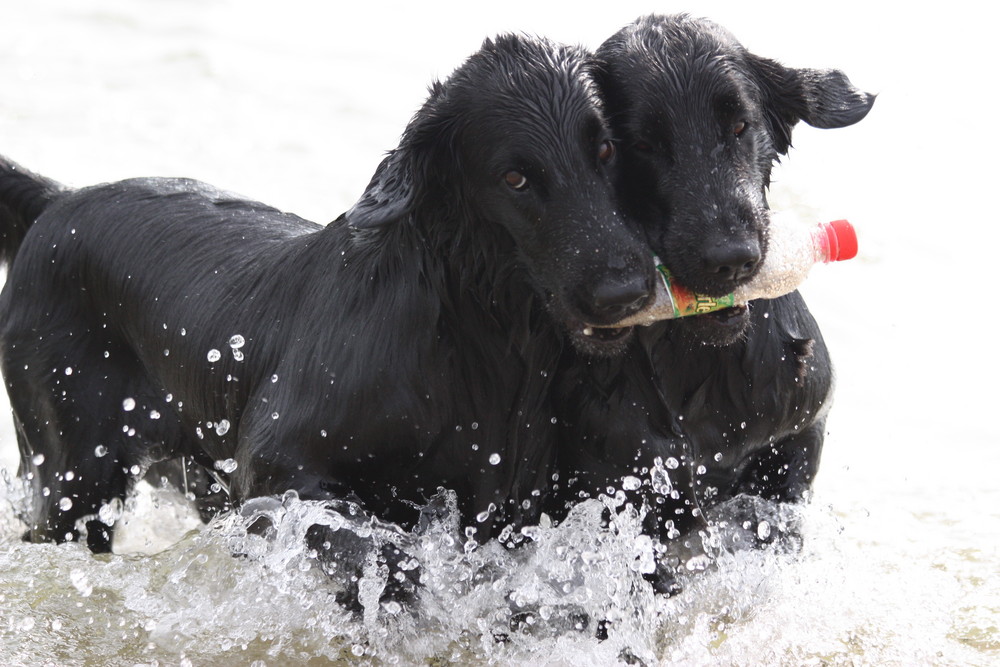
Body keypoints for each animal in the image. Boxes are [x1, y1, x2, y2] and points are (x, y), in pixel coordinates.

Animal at [0, 34, 656, 576]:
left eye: (604, 151)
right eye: (515, 178)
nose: (627, 291)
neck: (462, 337)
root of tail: (59, 200)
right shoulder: (275, 463)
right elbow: (371, 543)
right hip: (70, 473)